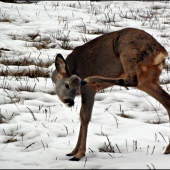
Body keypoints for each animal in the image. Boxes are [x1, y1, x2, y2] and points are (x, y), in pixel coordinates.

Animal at [51, 27, 170, 161]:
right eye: (67, 85)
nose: (69, 102)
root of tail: (162, 52)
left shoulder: (88, 90)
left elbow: (85, 116)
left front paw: (79, 154)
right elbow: (82, 117)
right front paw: (72, 151)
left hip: (127, 51)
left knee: (132, 80)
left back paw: (91, 78)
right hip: (147, 78)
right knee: (167, 100)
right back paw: (168, 149)